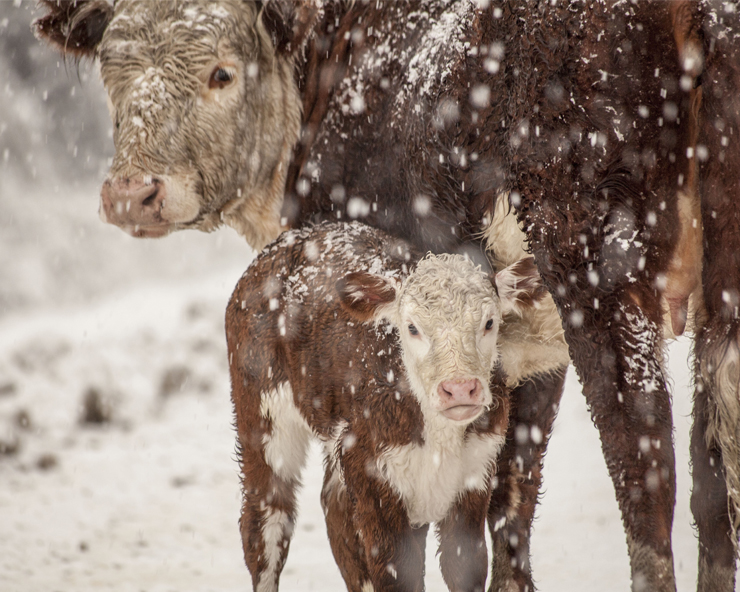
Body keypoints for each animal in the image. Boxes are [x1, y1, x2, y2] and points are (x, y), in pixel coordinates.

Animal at [225, 222, 544, 592]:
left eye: (489, 323)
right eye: (413, 328)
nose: (459, 388)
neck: (439, 440)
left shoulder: (476, 472)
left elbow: (464, 565)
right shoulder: (373, 475)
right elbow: (397, 572)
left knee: (335, 510)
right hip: (261, 410)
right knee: (266, 519)